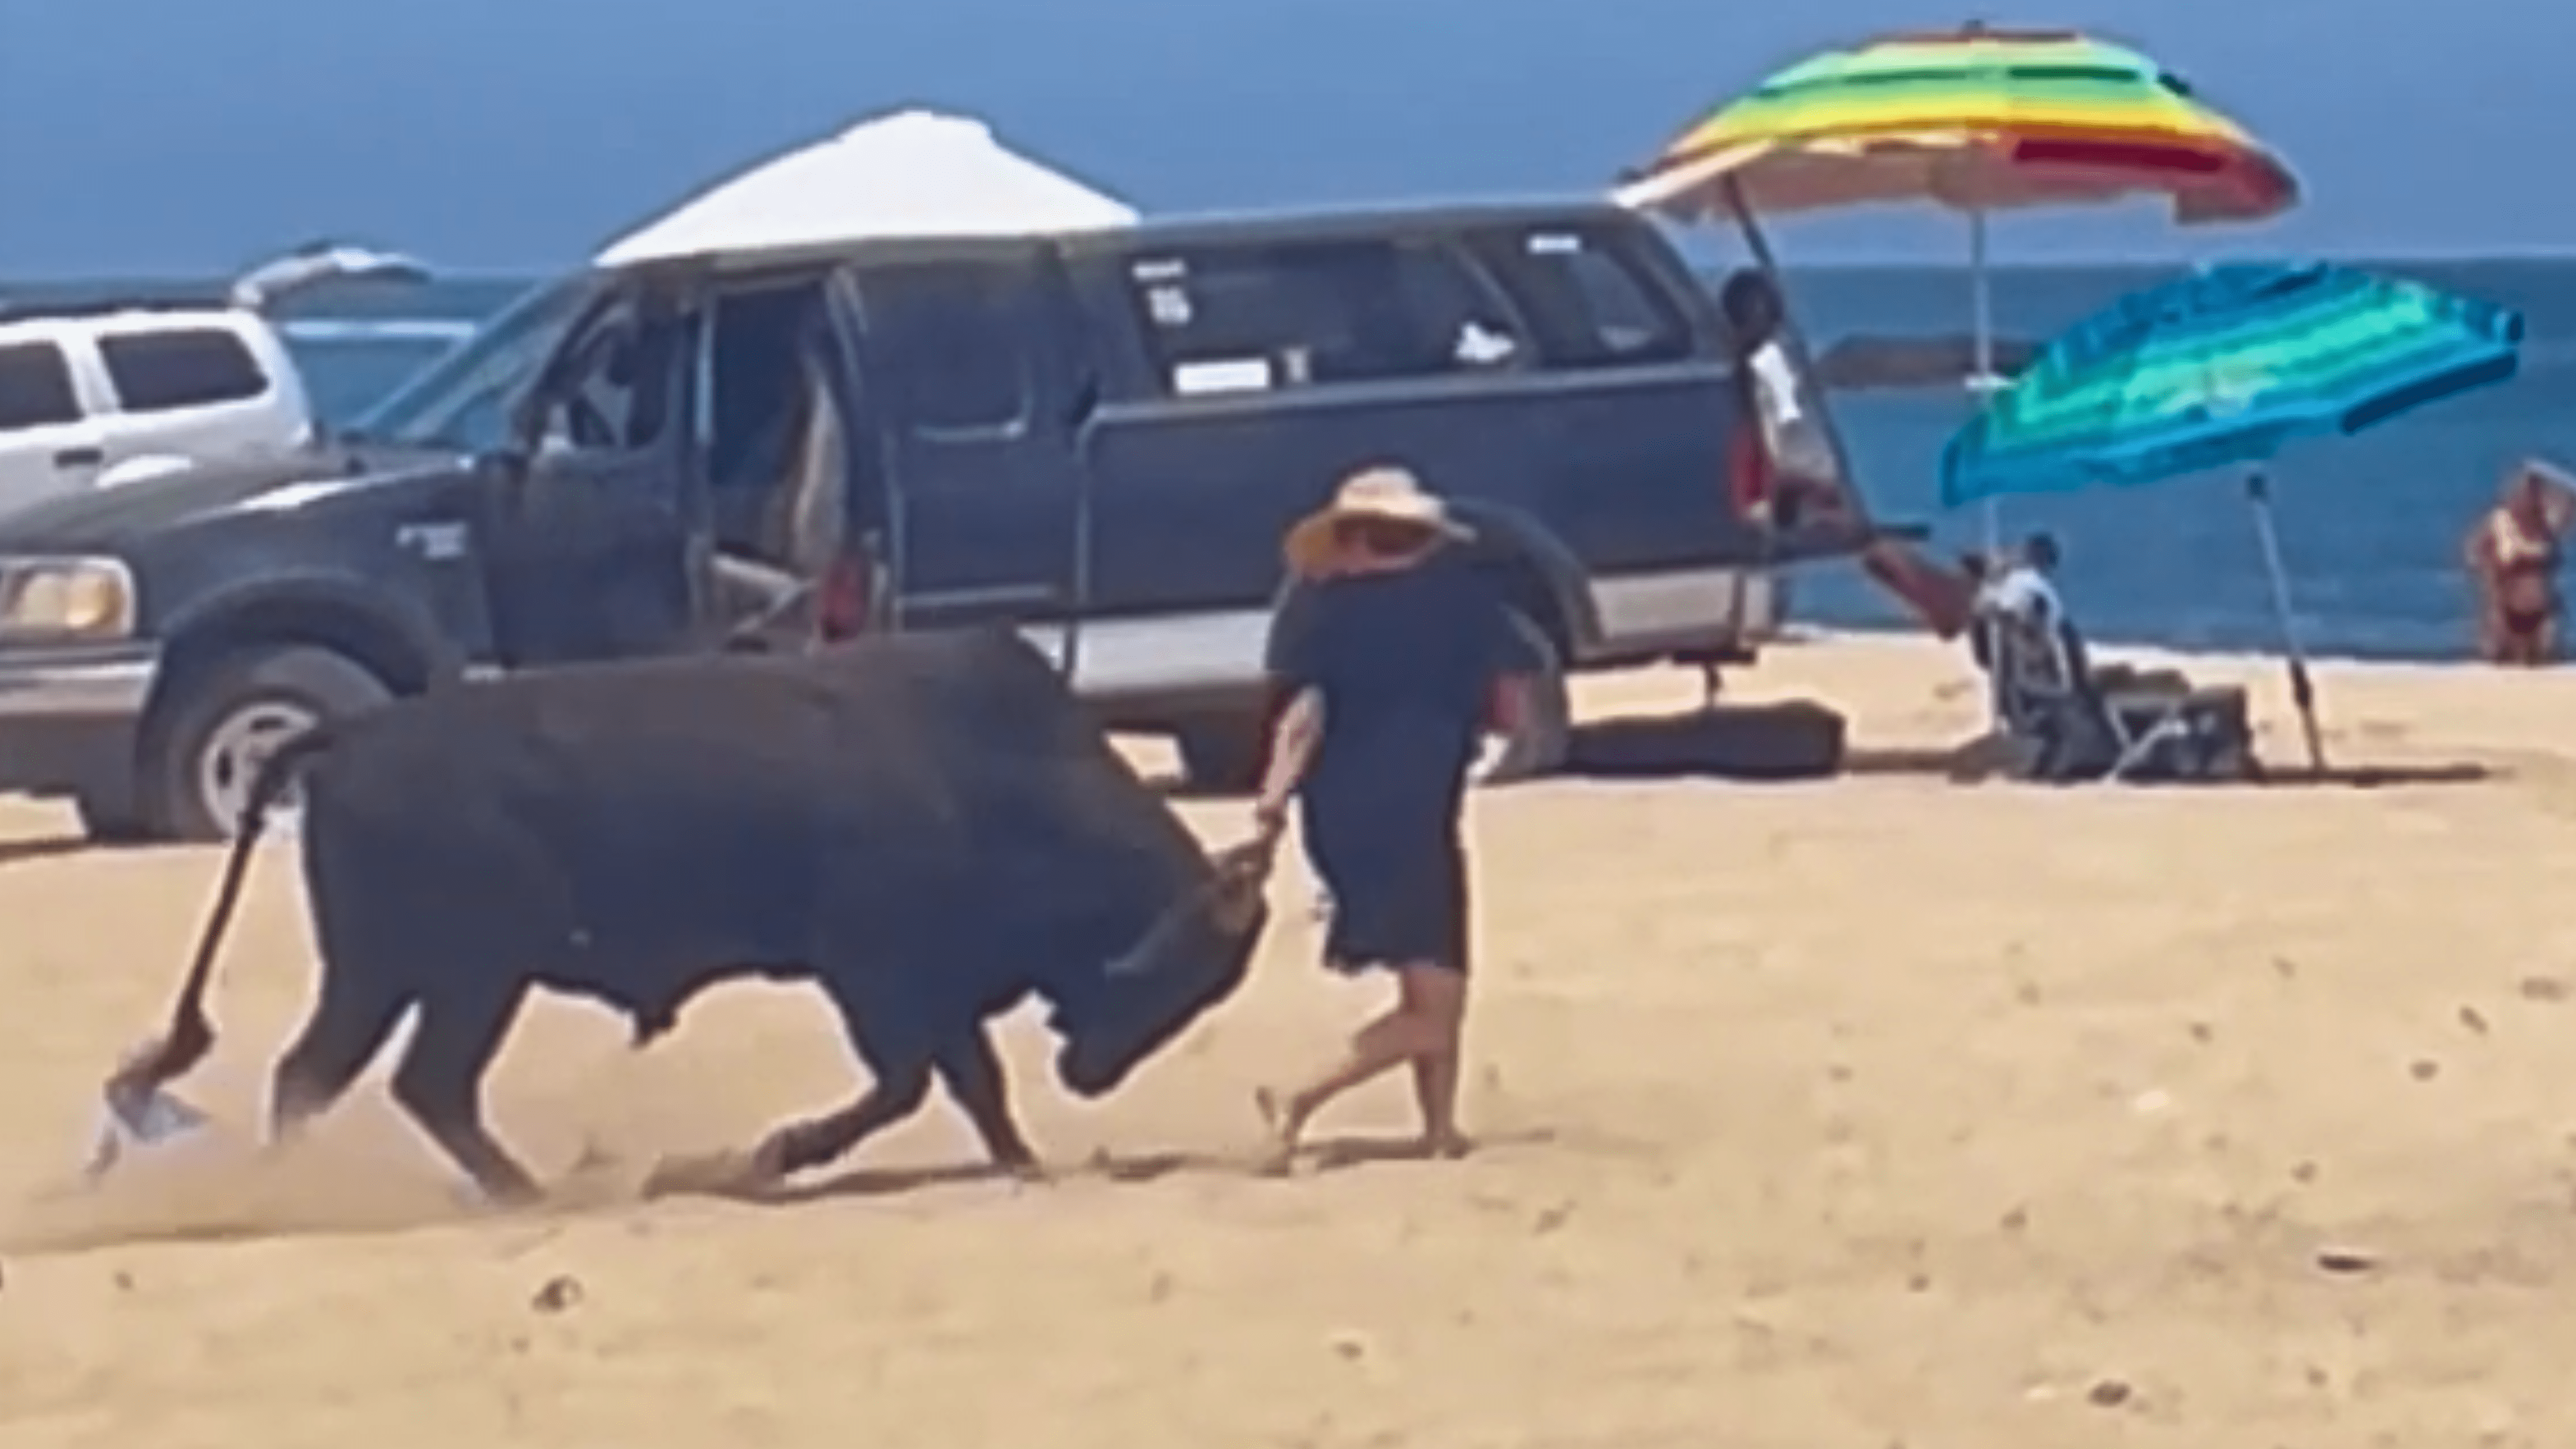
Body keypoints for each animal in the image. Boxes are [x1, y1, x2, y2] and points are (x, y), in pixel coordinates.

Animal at [131, 626, 1278, 1201]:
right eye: (1181, 970)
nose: (1091, 1073)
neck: (991, 767)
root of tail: (360, 736)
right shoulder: (876, 974)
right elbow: (911, 1081)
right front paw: (770, 1156)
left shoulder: (932, 989)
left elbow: (970, 1085)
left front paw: (1022, 1159)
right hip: (453, 977)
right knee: (405, 1081)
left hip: (398, 976)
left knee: (336, 1077)